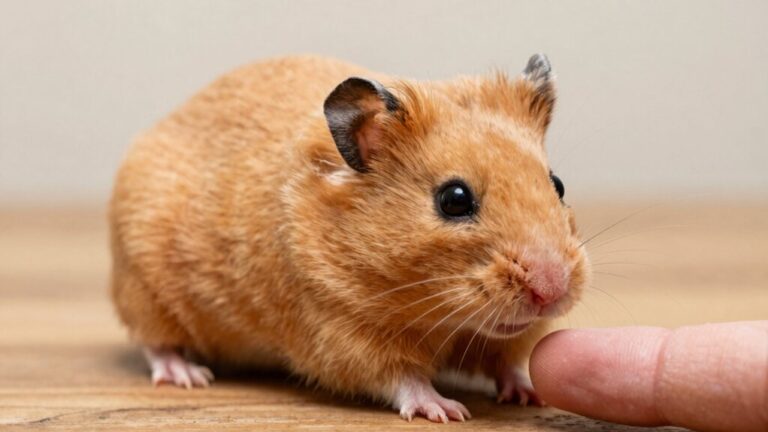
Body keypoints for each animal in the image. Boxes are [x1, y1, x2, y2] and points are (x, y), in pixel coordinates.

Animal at [109, 54, 590, 423]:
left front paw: (531, 393)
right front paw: (446, 410)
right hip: (146, 290)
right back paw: (189, 376)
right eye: (454, 199)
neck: (442, 317)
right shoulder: (342, 332)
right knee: (155, 344)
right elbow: (402, 378)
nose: (552, 291)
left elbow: (508, 362)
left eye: (558, 184)